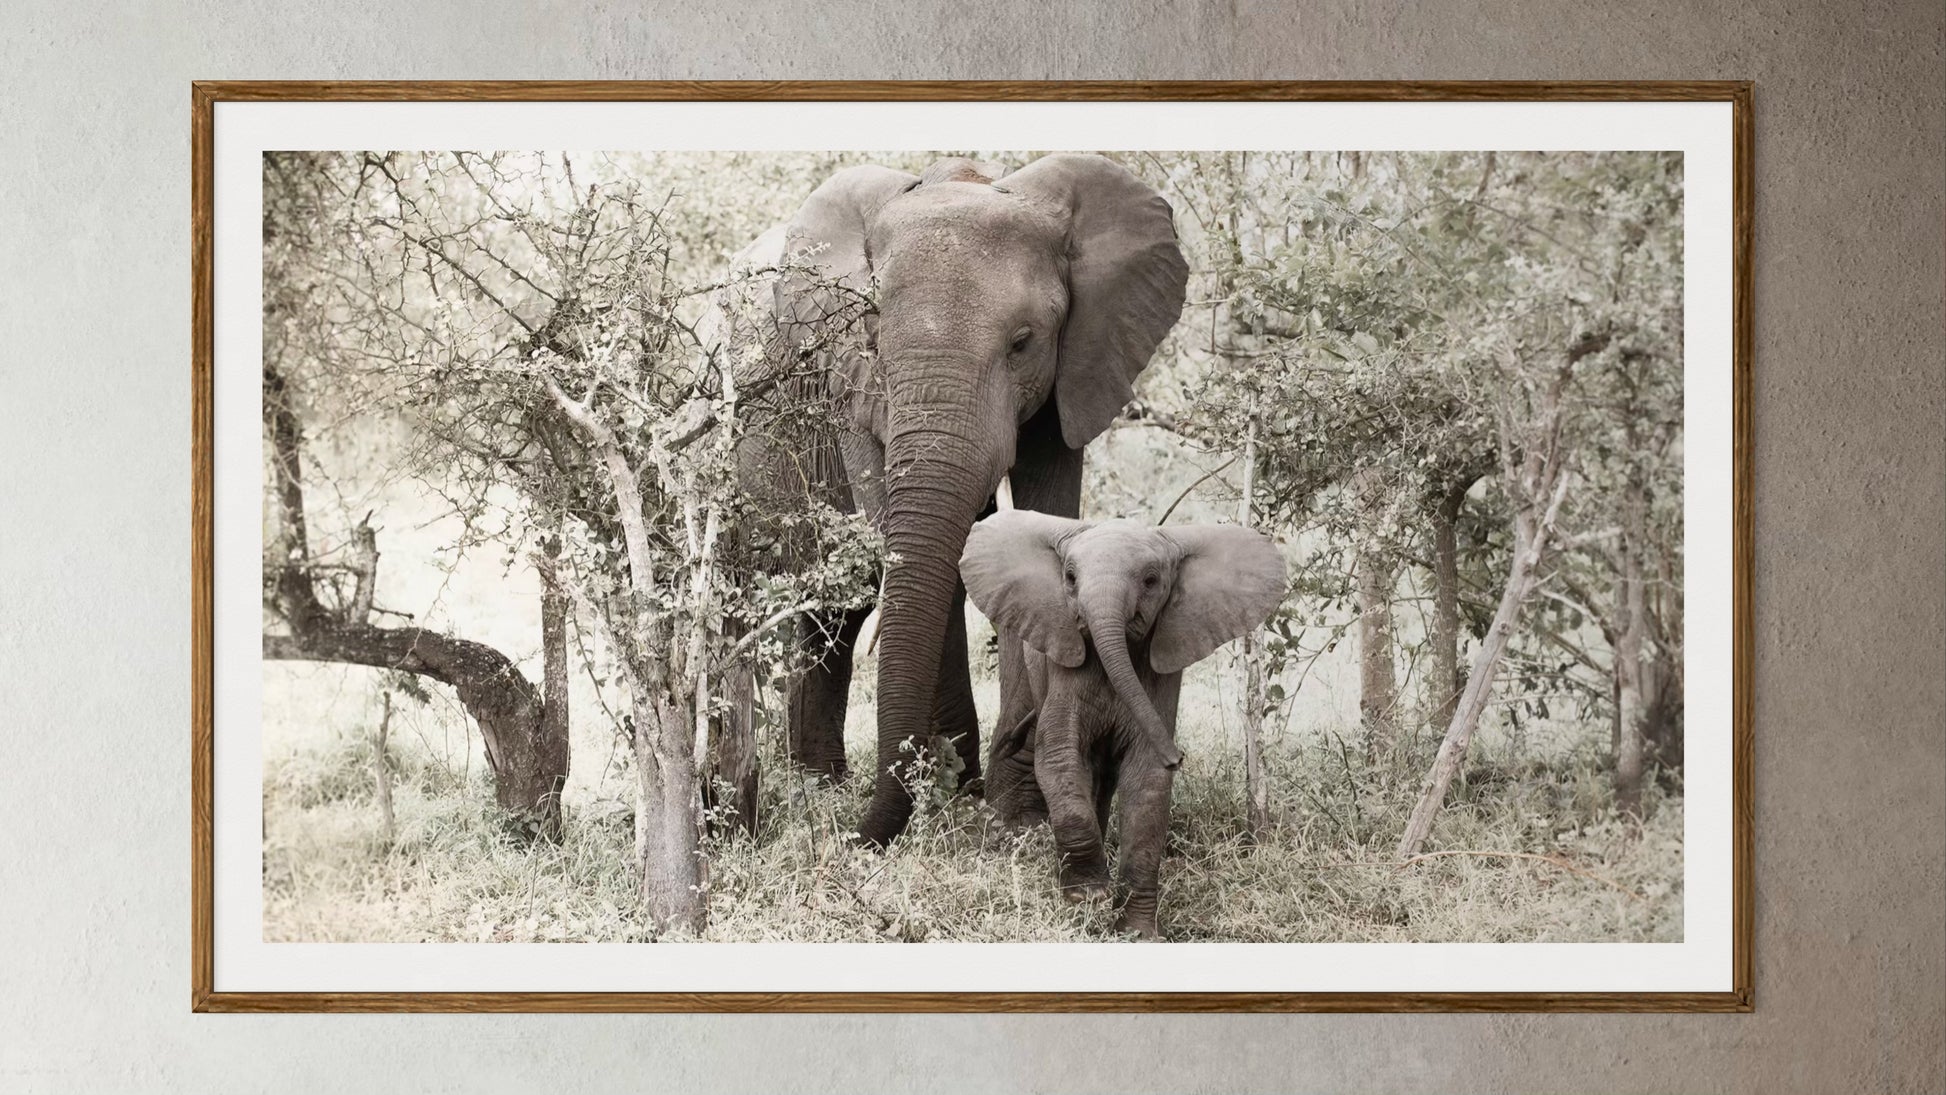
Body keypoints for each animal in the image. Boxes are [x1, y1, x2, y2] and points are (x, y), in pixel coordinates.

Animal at [729, 154, 1191, 848]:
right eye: (873, 341)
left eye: (1024, 342)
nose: (857, 841)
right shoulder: (848, 388)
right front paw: (955, 788)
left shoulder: (1072, 377)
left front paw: (1017, 811)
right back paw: (821, 787)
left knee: (838, 611)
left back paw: (823, 784)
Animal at [959, 511, 1287, 938]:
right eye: (1069, 577)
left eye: (1150, 580)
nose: (1177, 758)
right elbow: (1060, 754)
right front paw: (1088, 894)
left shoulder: (1160, 669)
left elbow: (1146, 779)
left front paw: (1136, 934)